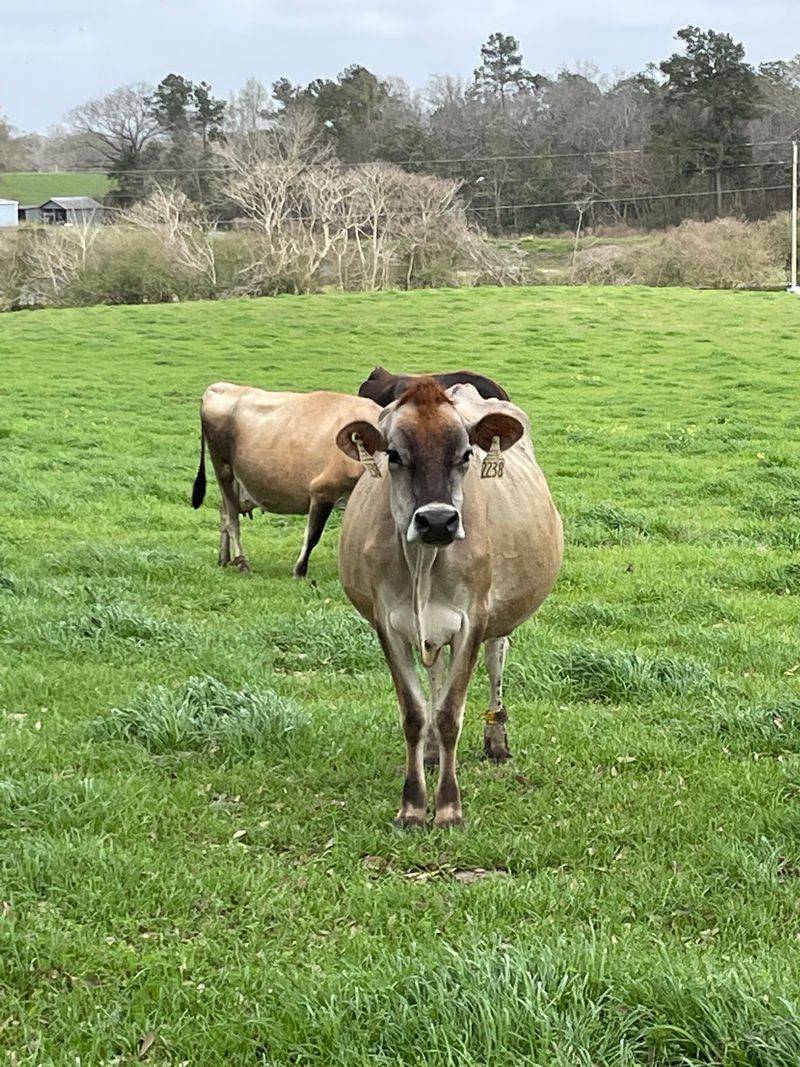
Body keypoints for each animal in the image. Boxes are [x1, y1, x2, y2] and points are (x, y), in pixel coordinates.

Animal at [192, 382, 381, 577]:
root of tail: (220, 386)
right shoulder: (322, 490)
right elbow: (312, 535)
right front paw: (299, 571)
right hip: (223, 469)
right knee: (232, 519)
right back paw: (242, 562)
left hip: (238, 480)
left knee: (224, 511)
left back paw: (224, 558)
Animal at [336, 378, 562, 828]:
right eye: (393, 454)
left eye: (466, 454)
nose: (438, 521)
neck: (423, 562)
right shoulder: (386, 623)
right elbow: (416, 713)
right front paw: (411, 805)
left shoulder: (473, 618)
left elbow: (449, 713)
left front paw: (448, 807)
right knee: (434, 676)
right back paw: (432, 753)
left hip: (497, 618)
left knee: (495, 661)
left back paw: (496, 740)